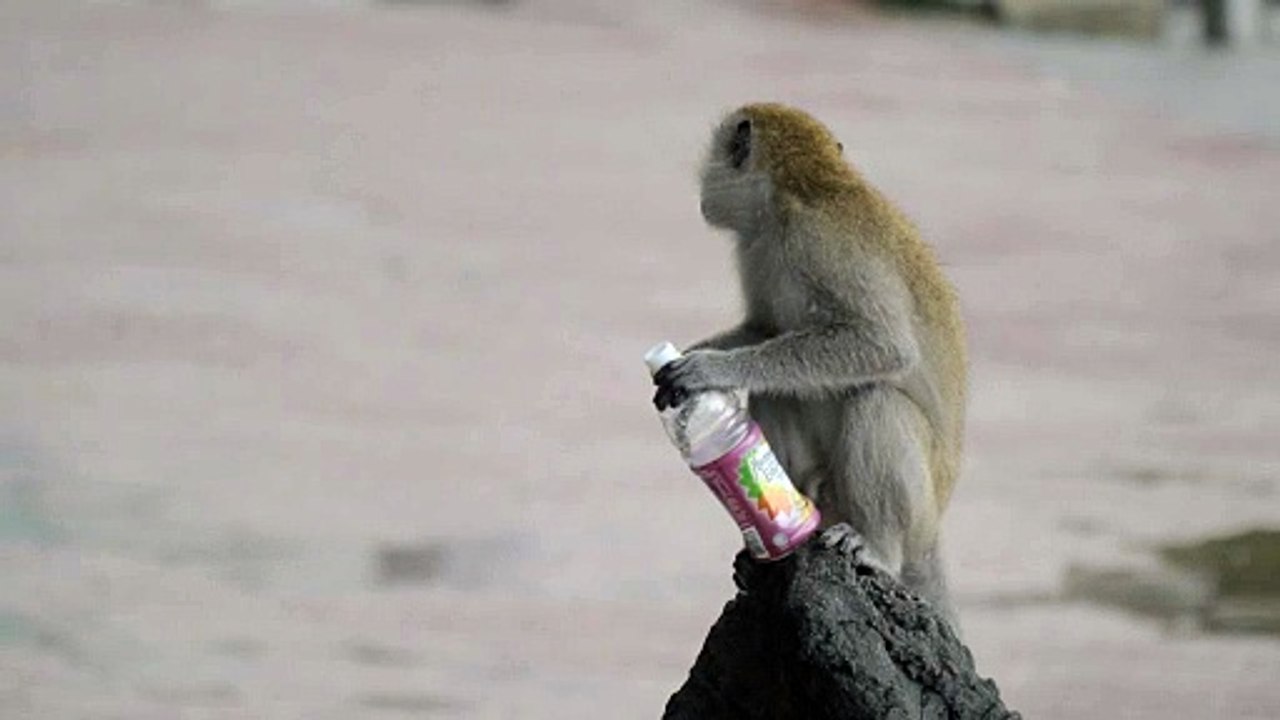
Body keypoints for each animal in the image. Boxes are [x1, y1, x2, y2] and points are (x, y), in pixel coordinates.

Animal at [653, 103, 967, 625]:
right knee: (778, 390)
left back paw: (878, 547)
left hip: (919, 513)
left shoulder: (817, 243)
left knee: (878, 400)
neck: (798, 191)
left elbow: (883, 345)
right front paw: (690, 360)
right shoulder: (757, 249)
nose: (703, 194)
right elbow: (764, 329)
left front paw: (711, 368)